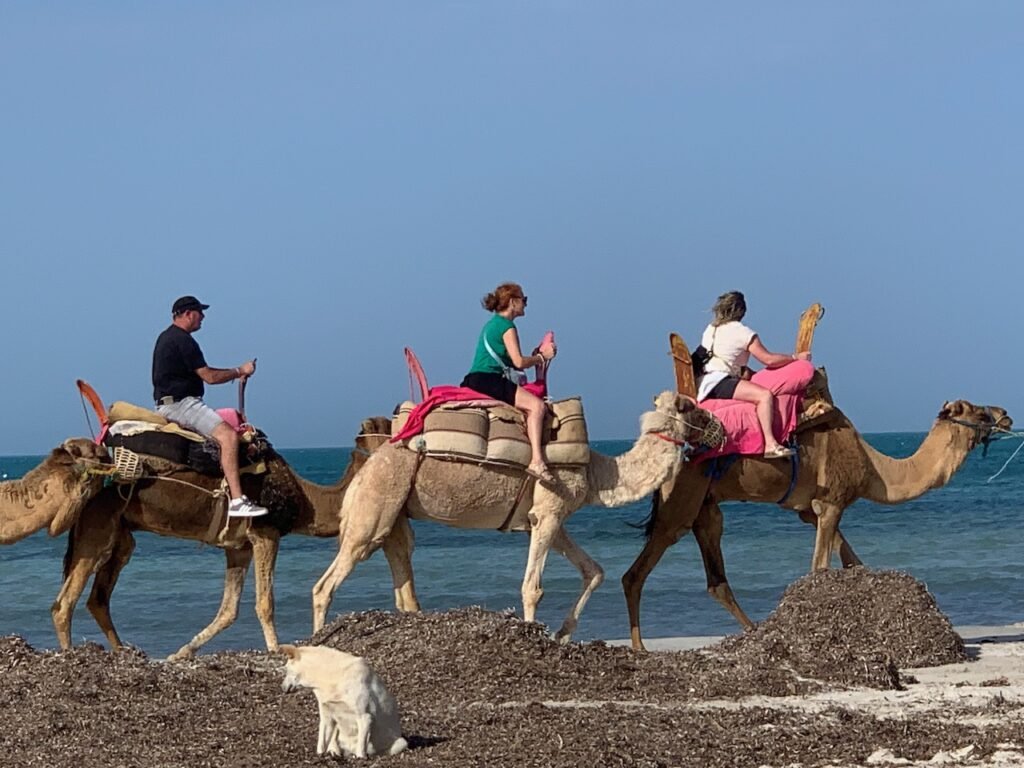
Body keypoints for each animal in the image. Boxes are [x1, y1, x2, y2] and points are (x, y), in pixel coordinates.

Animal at [51, 417, 392, 660]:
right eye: (386, 425)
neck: (304, 500)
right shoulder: (266, 534)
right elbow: (264, 603)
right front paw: (275, 650)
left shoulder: (238, 548)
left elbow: (228, 610)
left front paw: (181, 653)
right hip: (97, 530)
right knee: (65, 603)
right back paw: (72, 654)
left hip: (120, 538)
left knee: (98, 599)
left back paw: (126, 652)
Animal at [311, 392, 721, 643]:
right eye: (691, 407)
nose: (719, 428)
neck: (598, 474)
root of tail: (361, 474)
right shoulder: (550, 510)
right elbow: (533, 587)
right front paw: (532, 638)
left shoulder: (548, 519)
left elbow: (594, 571)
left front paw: (563, 634)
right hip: (374, 508)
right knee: (325, 585)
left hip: (394, 517)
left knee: (403, 578)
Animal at [622, 399, 1012, 650]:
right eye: (979, 411)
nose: (1006, 415)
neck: (875, 468)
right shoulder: (832, 503)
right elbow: (820, 567)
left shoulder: (811, 511)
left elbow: (852, 562)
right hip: (681, 500)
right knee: (638, 570)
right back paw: (640, 648)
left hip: (706, 507)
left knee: (715, 578)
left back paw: (755, 631)